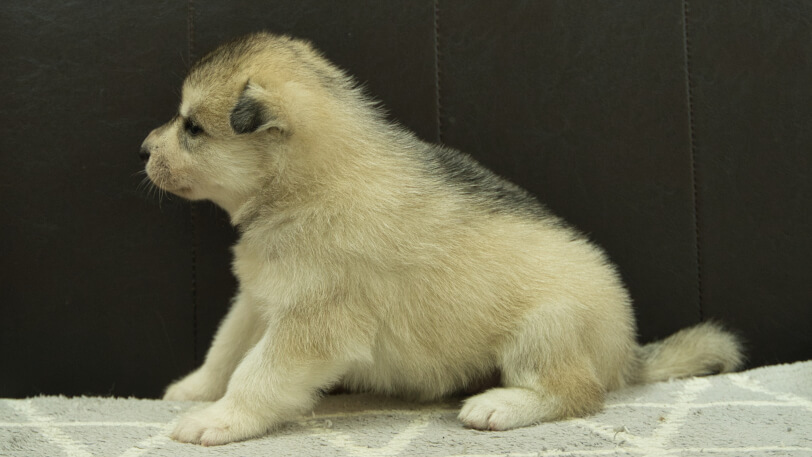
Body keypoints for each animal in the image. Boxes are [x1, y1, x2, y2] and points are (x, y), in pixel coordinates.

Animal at [138, 33, 744, 446]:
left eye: (192, 128)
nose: (143, 148)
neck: (306, 185)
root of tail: (627, 353)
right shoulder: (258, 299)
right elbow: (225, 351)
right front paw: (196, 389)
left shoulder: (311, 326)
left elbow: (256, 374)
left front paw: (220, 418)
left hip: (545, 327)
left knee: (578, 393)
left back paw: (501, 406)